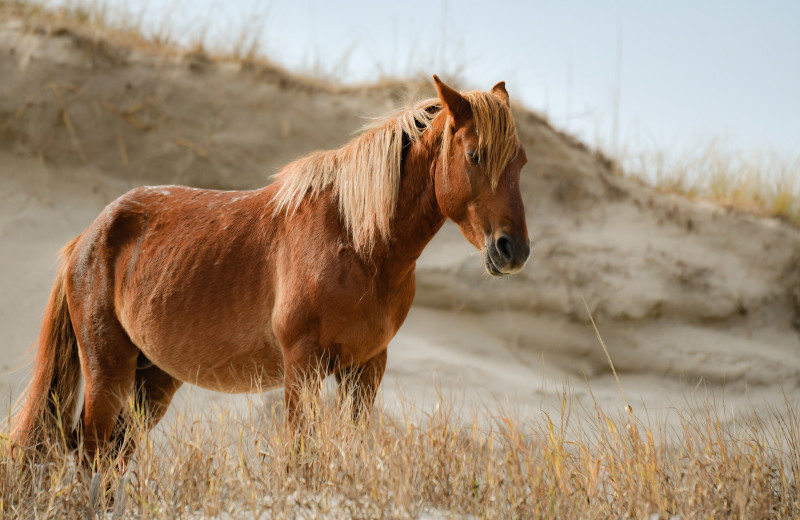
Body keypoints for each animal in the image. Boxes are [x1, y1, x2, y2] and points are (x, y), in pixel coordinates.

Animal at [10, 75, 532, 462]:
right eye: (475, 155)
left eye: (521, 162)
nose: (513, 250)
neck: (357, 242)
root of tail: (88, 237)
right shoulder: (302, 365)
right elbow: (300, 454)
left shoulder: (365, 368)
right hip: (108, 371)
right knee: (91, 451)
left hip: (153, 380)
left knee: (114, 455)